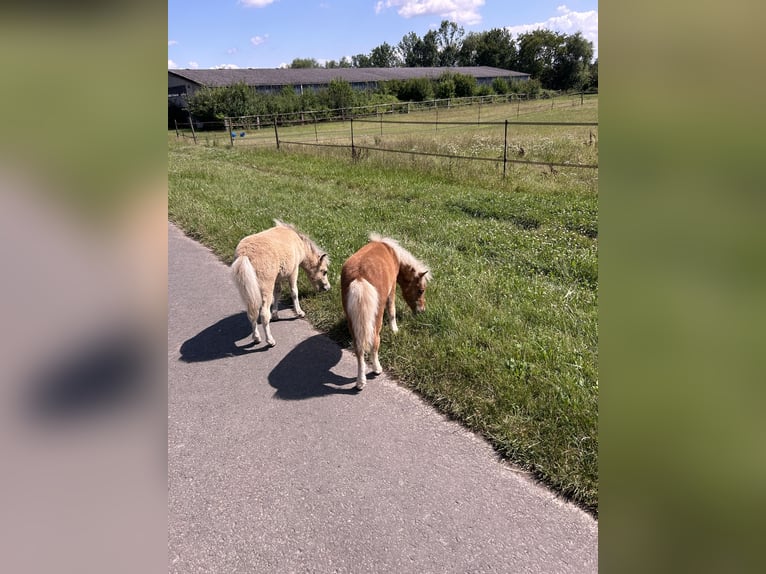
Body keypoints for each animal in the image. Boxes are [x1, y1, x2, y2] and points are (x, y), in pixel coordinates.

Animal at [342, 234, 432, 392]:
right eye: (421, 290)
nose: (422, 311)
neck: (391, 252)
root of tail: (359, 278)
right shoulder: (392, 289)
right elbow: (391, 310)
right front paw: (395, 329)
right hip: (376, 318)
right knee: (374, 342)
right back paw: (377, 369)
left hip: (352, 321)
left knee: (358, 349)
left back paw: (360, 382)